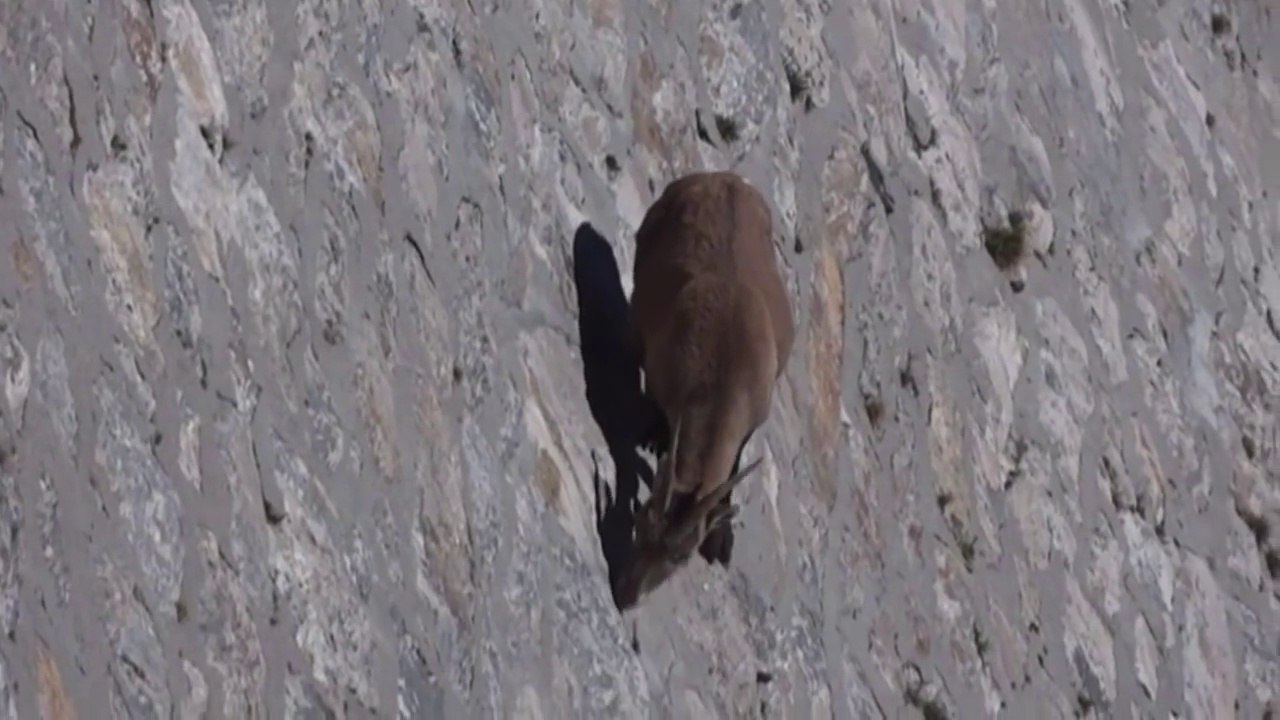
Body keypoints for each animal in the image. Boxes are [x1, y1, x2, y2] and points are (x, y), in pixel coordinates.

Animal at [613, 170, 795, 610]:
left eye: (681, 557)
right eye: (642, 522)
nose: (625, 596)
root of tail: (725, 178)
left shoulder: (755, 413)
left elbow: (734, 463)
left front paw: (721, 538)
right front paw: (654, 438)